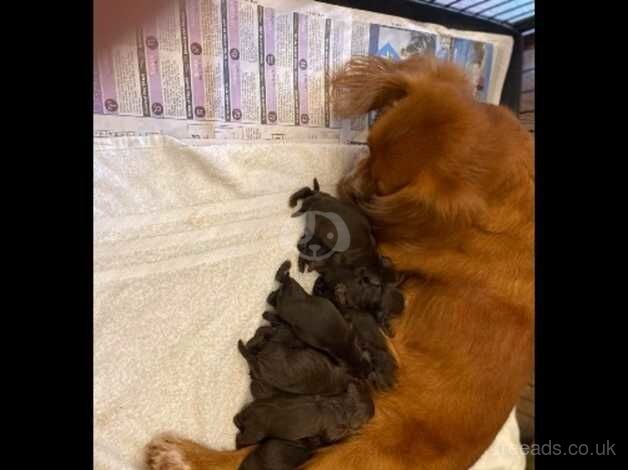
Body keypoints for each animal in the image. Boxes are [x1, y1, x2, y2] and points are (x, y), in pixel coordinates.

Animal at [234, 378, 372, 448]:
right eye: (367, 415)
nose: (373, 410)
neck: (342, 405)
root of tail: (245, 415)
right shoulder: (332, 430)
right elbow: (338, 434)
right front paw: (355, 432)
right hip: (255, 433)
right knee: (239, 438)